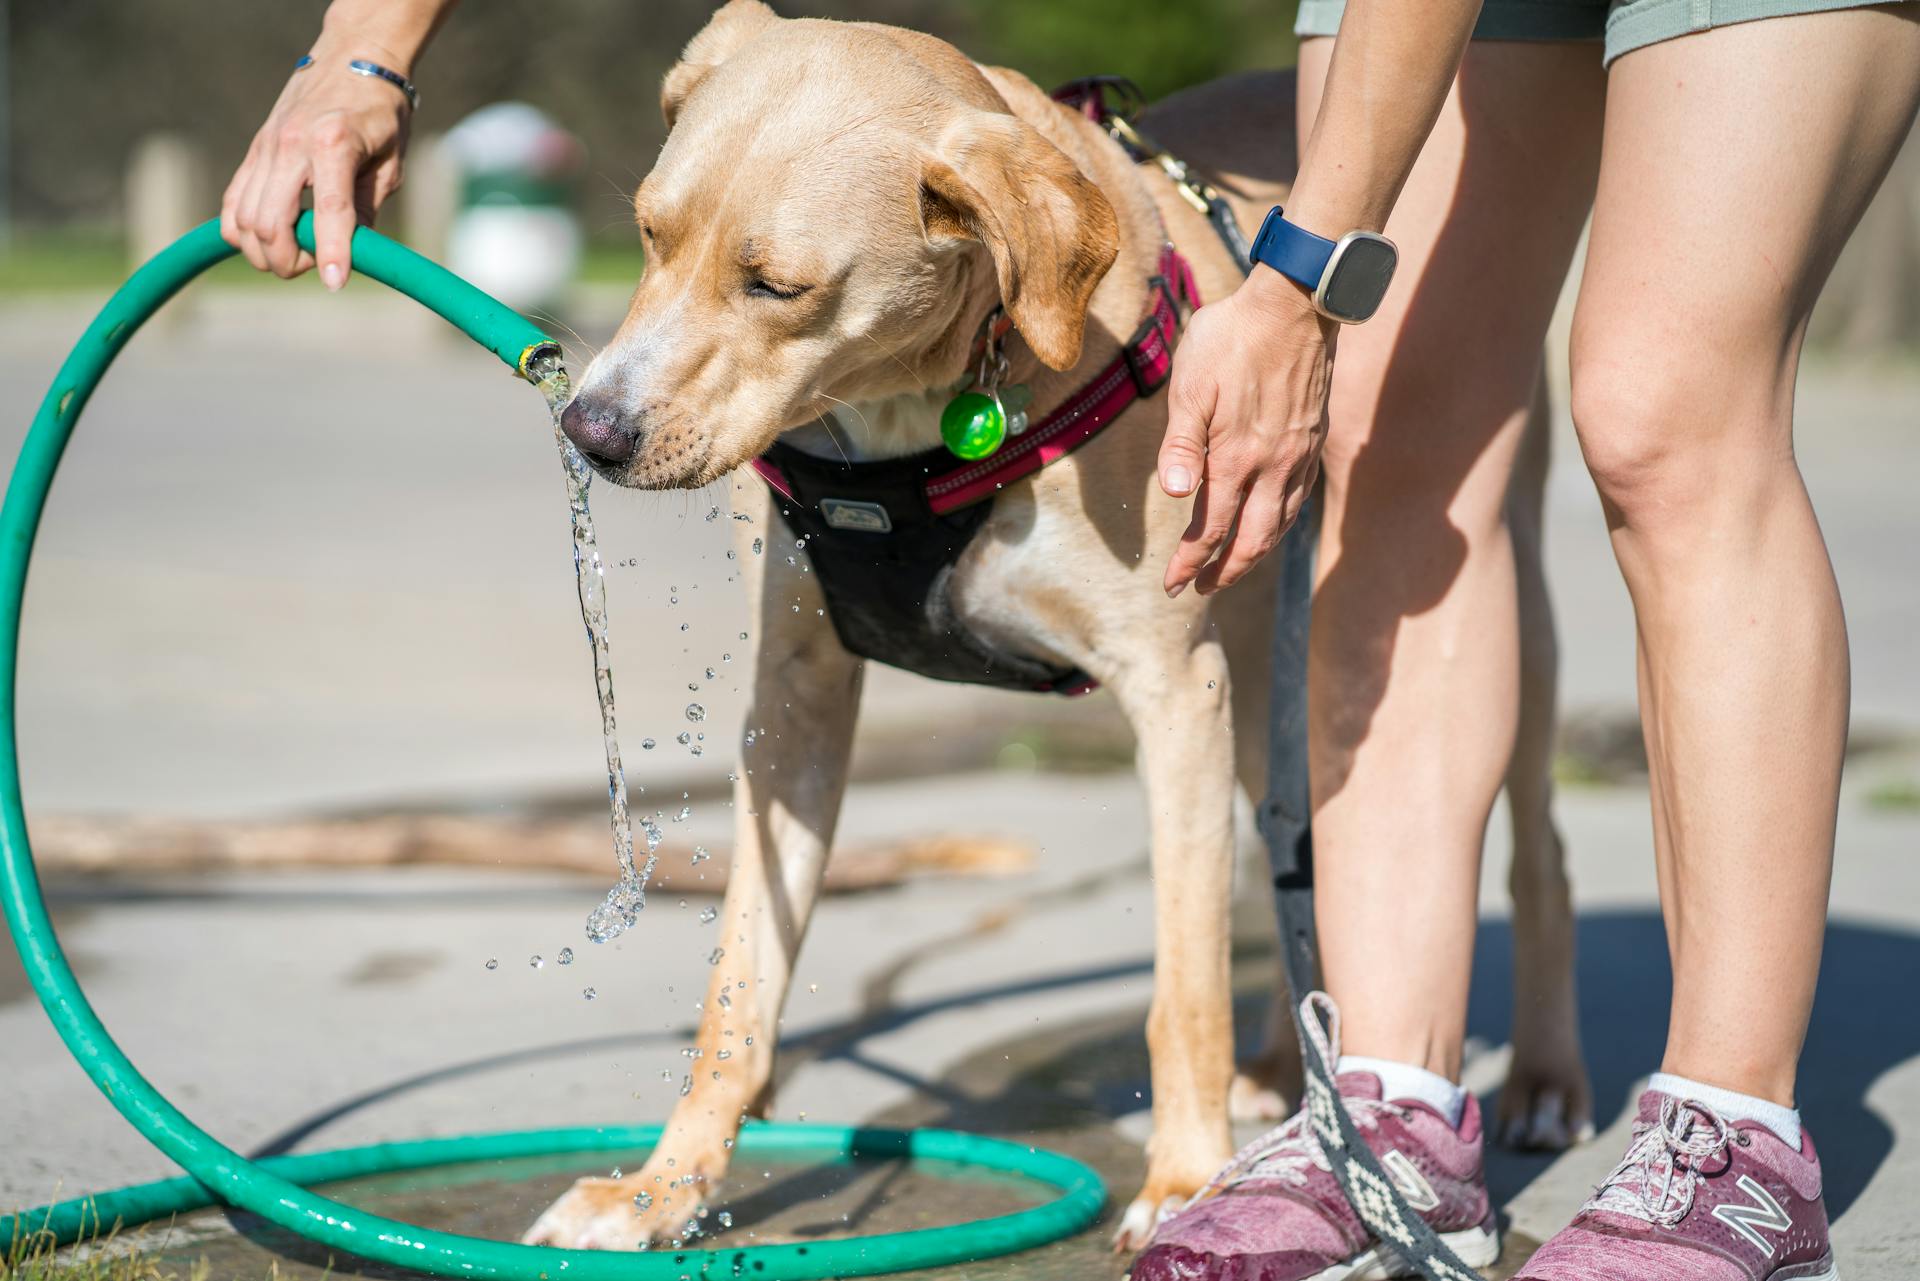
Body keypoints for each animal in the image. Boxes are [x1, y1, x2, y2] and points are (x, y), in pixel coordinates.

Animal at [522, 2, 1589, 1252]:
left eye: (777, 286)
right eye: (648, 235)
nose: (591, 431)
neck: (922, 417)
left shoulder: (1175, 690)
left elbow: (1183, 990)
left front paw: (1182, 1180)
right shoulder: (793, 703)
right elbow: (739, 984)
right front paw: (663, 1188)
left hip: (1481, 600)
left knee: (1538, 847)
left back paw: (1542, 1081)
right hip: (1277, 660)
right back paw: (1291, 1080)